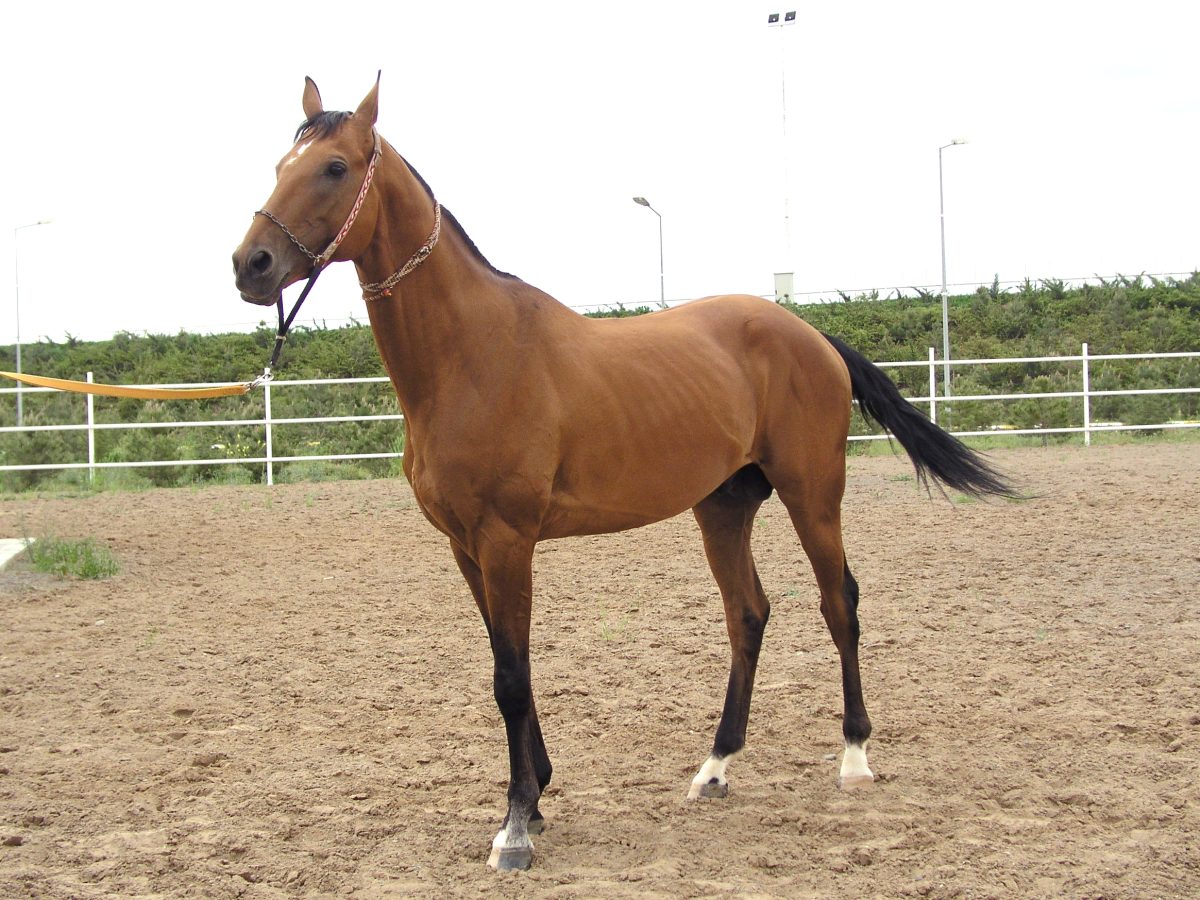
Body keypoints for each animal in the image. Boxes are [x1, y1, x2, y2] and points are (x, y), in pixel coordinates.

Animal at [232, 75, 1014, 871]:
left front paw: (516, 826)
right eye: (278, 165)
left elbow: (510, 679)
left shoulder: (507, 540)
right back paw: (715, 766)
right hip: (723, 507)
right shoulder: (465, 547)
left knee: (839, 603)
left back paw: (854, 756)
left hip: (813, 495)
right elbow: (508, 667)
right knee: (748, 614)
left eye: (333, 167)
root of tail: (810, 333)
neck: (473, 355)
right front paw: (537, 797)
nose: (250, 265)